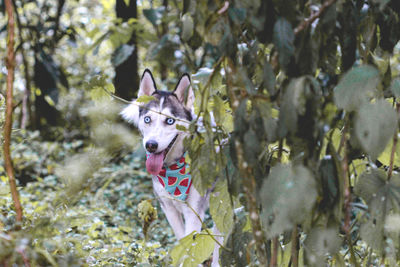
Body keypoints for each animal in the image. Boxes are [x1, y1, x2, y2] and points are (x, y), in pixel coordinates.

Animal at [122, 69, 222, 267]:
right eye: (147, 119)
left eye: (169, 121)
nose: (151, 145)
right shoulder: (168, 208)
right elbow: (182, 242)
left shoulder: (193, 211)